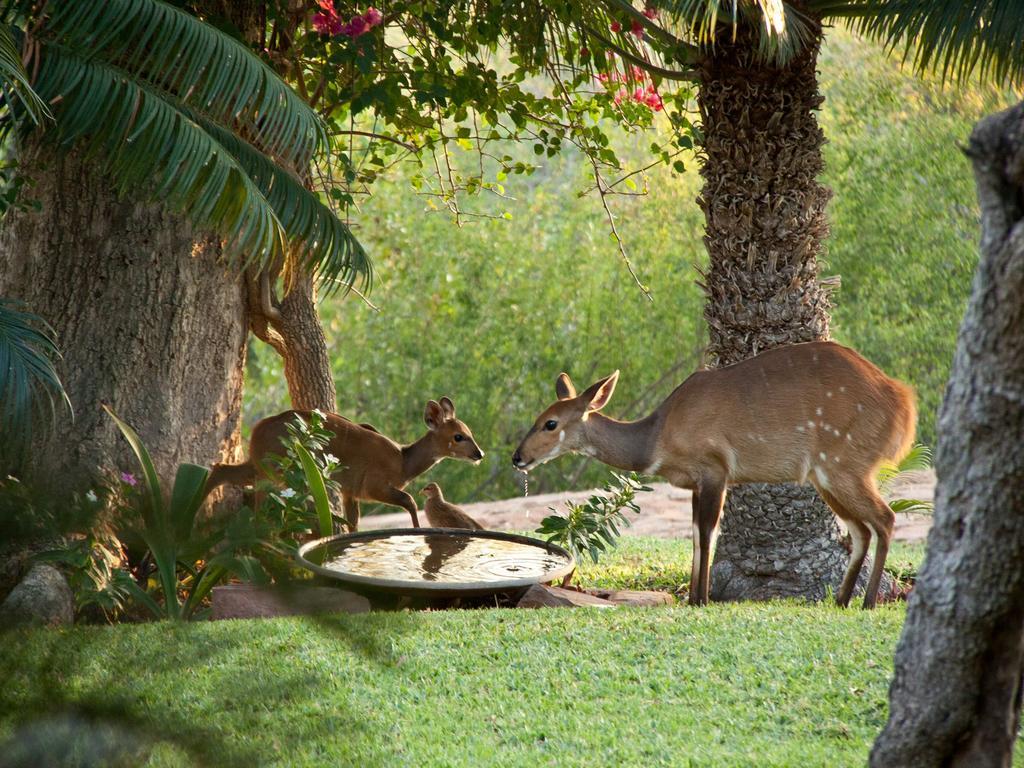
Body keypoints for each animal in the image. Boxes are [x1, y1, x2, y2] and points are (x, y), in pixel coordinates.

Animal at [205, 399, 485, 532]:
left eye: (469, 431)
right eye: (458, 436)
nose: (479, 454)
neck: (402, 463)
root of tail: (257, 429)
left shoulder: (351, 492)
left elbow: (353, 523)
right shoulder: (374, 486)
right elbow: (410, 501)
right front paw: (417, 533)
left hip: (262, 467)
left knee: (220, 469)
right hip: (281, 470)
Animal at [512, 346, 921, 610]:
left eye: (550, 423)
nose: (518, 458)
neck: (657, 438)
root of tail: (904, 405)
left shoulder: (715, 469)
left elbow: (707, 534)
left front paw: (702, 599)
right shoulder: (696, 482)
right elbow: (694, 534)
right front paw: (694, 597)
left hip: (843, 465)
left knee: (885, 519)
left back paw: (867, 602)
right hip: (826, 475)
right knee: (861, 529)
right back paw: (841, 599)